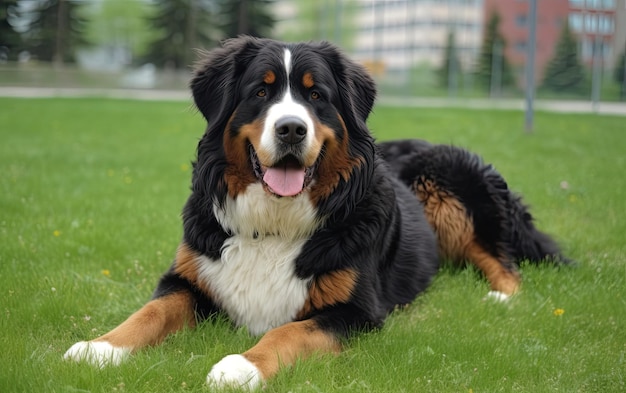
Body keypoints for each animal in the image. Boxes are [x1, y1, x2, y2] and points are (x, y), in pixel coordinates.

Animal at [62, 37, 564, 388]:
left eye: (316, 95)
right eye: (260, 92)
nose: (291, 129)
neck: (275, 223)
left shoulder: (356, 311)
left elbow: (288, 332)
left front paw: (239, 366)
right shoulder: (190, 277)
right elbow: (150, 312)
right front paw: (100, 347)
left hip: (449, 181)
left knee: (502, 259)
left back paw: (499, 297)